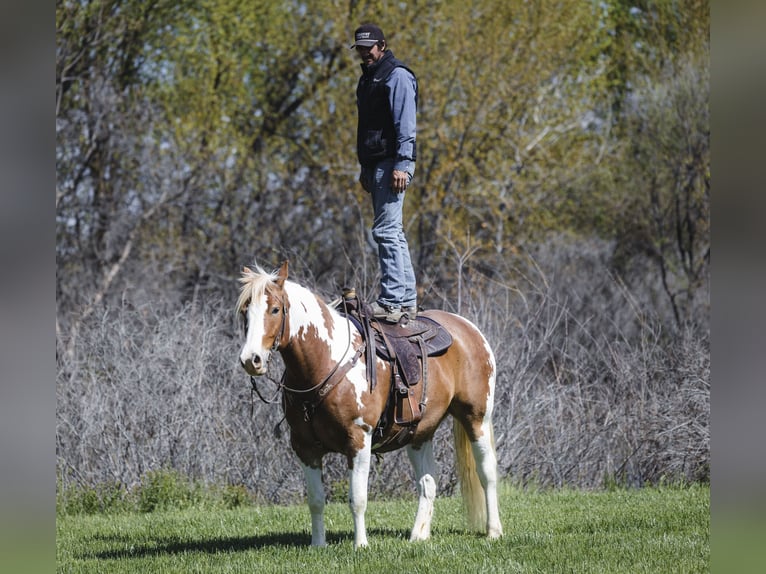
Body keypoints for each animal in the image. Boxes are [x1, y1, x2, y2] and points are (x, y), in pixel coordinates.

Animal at [237, 261, 503, 548]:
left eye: (275, 309)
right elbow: (316, 500)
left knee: (487, 472)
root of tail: (469, 329)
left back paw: (493, 531)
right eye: (245, 312)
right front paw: (318, 545)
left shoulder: (358, 440)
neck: (326, 360)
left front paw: (360, 545)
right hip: (419, 432)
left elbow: (358, 499)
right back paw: (418, 535)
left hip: (476, 418)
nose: (251, 360)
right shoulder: (304, 447)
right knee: (428, 480)